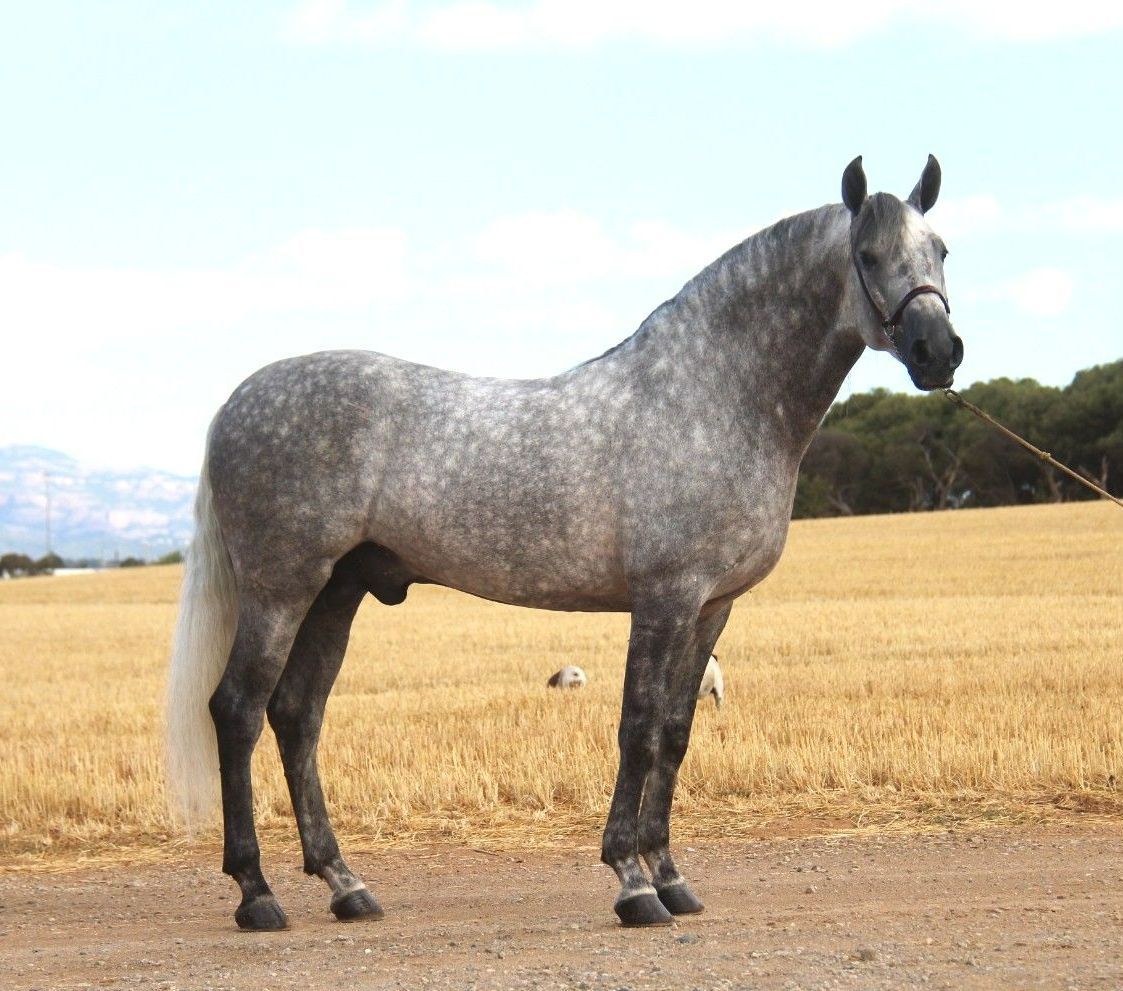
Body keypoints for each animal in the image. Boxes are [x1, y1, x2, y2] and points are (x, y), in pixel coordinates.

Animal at [166, 155, 961, 931]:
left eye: (942, 250)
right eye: (867, 254)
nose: (939, 351)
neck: (708, 398)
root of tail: (235, 404)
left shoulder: (713, 606)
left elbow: (675, 732)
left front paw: (672, 877)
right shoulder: (664, 598)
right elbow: (637, 729)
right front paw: (632, 883)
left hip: (338, 589)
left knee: (297, 715)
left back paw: (346, 885)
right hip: (281, 590)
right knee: (236, 711)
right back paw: (256, 894)